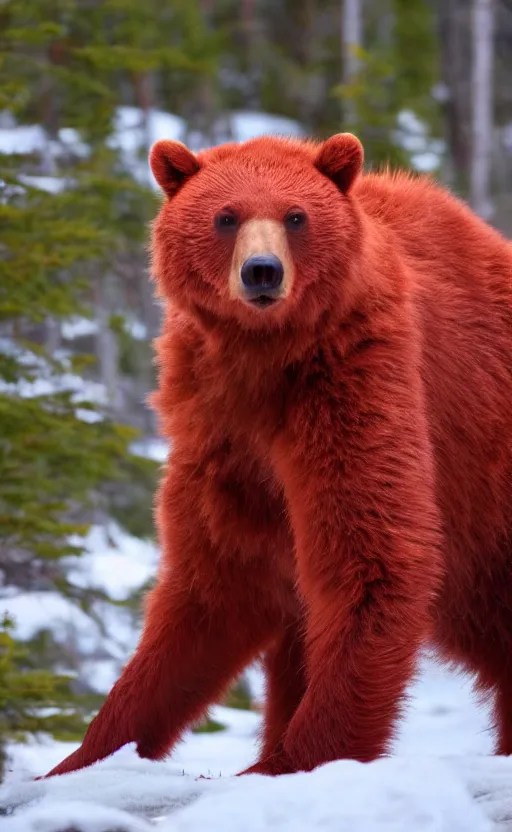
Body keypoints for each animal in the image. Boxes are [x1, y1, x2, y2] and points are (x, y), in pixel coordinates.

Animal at [46, 132, 512, 778]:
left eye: (296, 216)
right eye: (225, 216)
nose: (261, 270)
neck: (265, 361)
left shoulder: (357, 379)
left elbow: (372, 559)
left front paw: (297, 757)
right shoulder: (217, 430)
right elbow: (215, 582)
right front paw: (88, 753)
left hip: (484, 488)